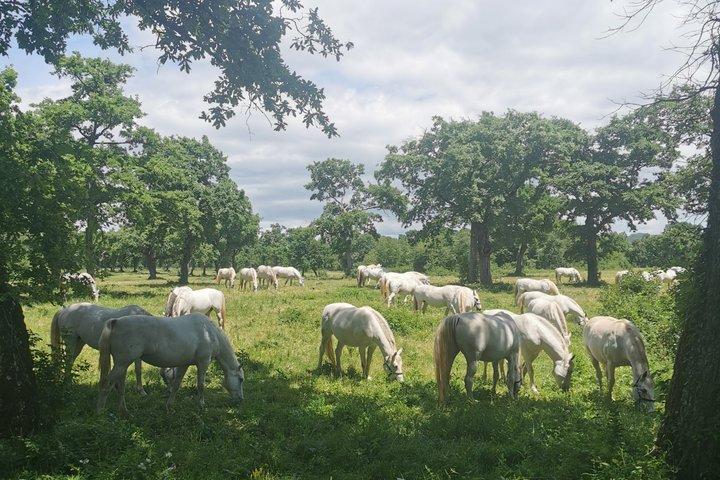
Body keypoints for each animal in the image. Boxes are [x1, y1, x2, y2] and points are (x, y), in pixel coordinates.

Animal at [96, 313, 244, 415]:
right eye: (241, 379)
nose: (241, 399)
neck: (208, 331)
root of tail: (116, 322)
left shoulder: (184, 364)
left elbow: (176, 385)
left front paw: (169, 406)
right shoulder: (203, 362)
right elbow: (201, 385)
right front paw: (201, 405)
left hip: (122, 365)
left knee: (120, 386)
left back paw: (124, 411)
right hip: (122, 364)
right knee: (106, 384)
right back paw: (100, 412)